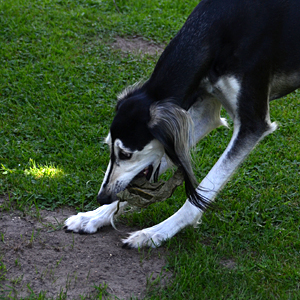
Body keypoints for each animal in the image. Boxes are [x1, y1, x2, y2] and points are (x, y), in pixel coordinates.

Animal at [63, 0, 300, 248]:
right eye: (109, 146)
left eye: (126, 154)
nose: (103, 196)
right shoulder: (204, 112)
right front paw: (95, 216)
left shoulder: (252, 123)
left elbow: (203, 191)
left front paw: (156, 232)